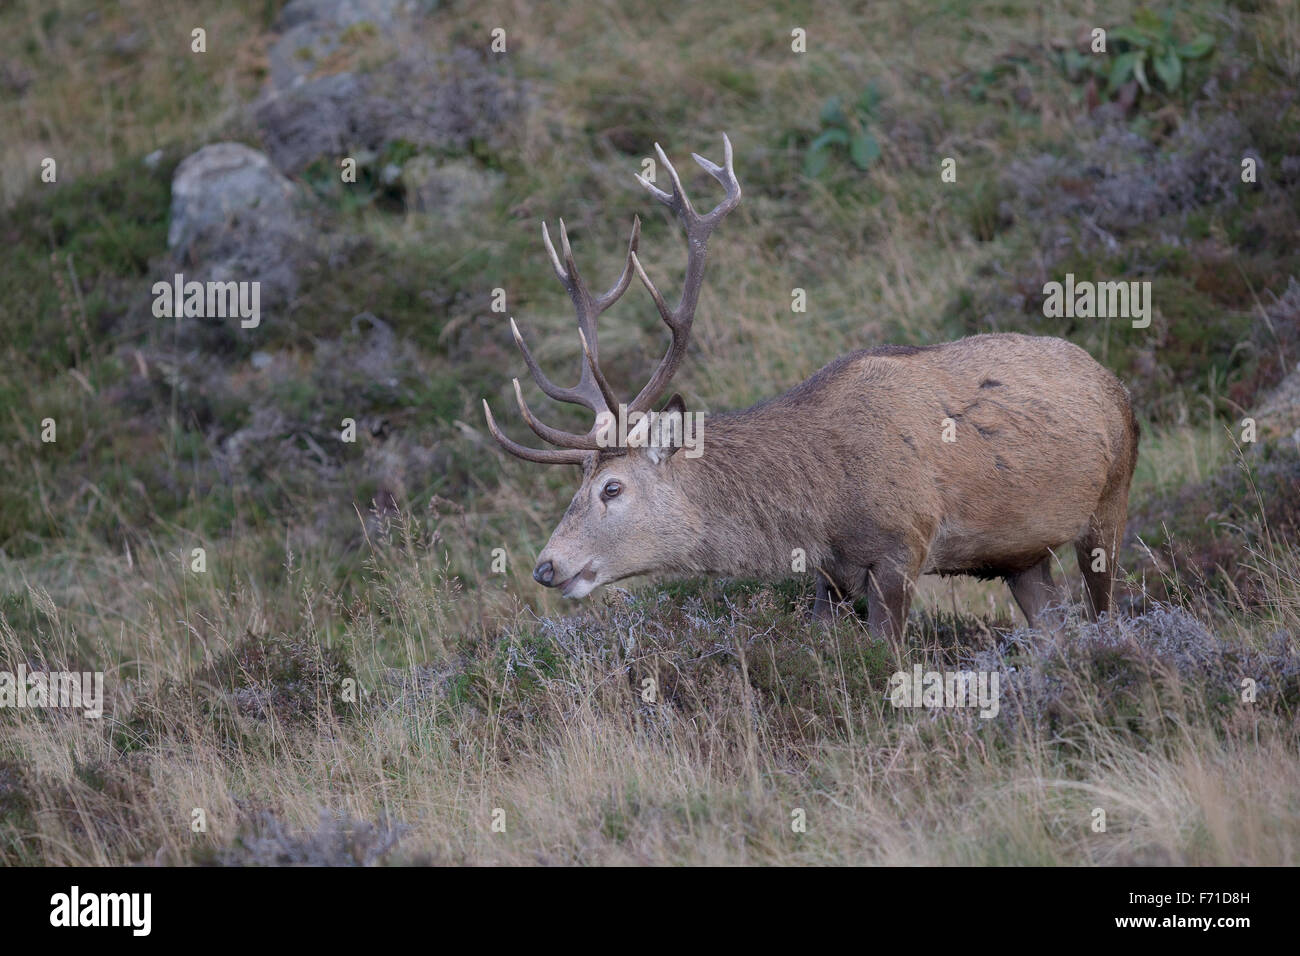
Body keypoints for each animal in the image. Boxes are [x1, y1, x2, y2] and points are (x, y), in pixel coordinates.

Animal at [482, 135, 1140, 638]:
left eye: (612, 488)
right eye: (579, 486)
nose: (546, 566)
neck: (821, 505)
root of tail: (1115, 385)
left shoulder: (904, 545)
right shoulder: (829, 577)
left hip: (1110, 504)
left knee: (1106, 609)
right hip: (1023, 556)